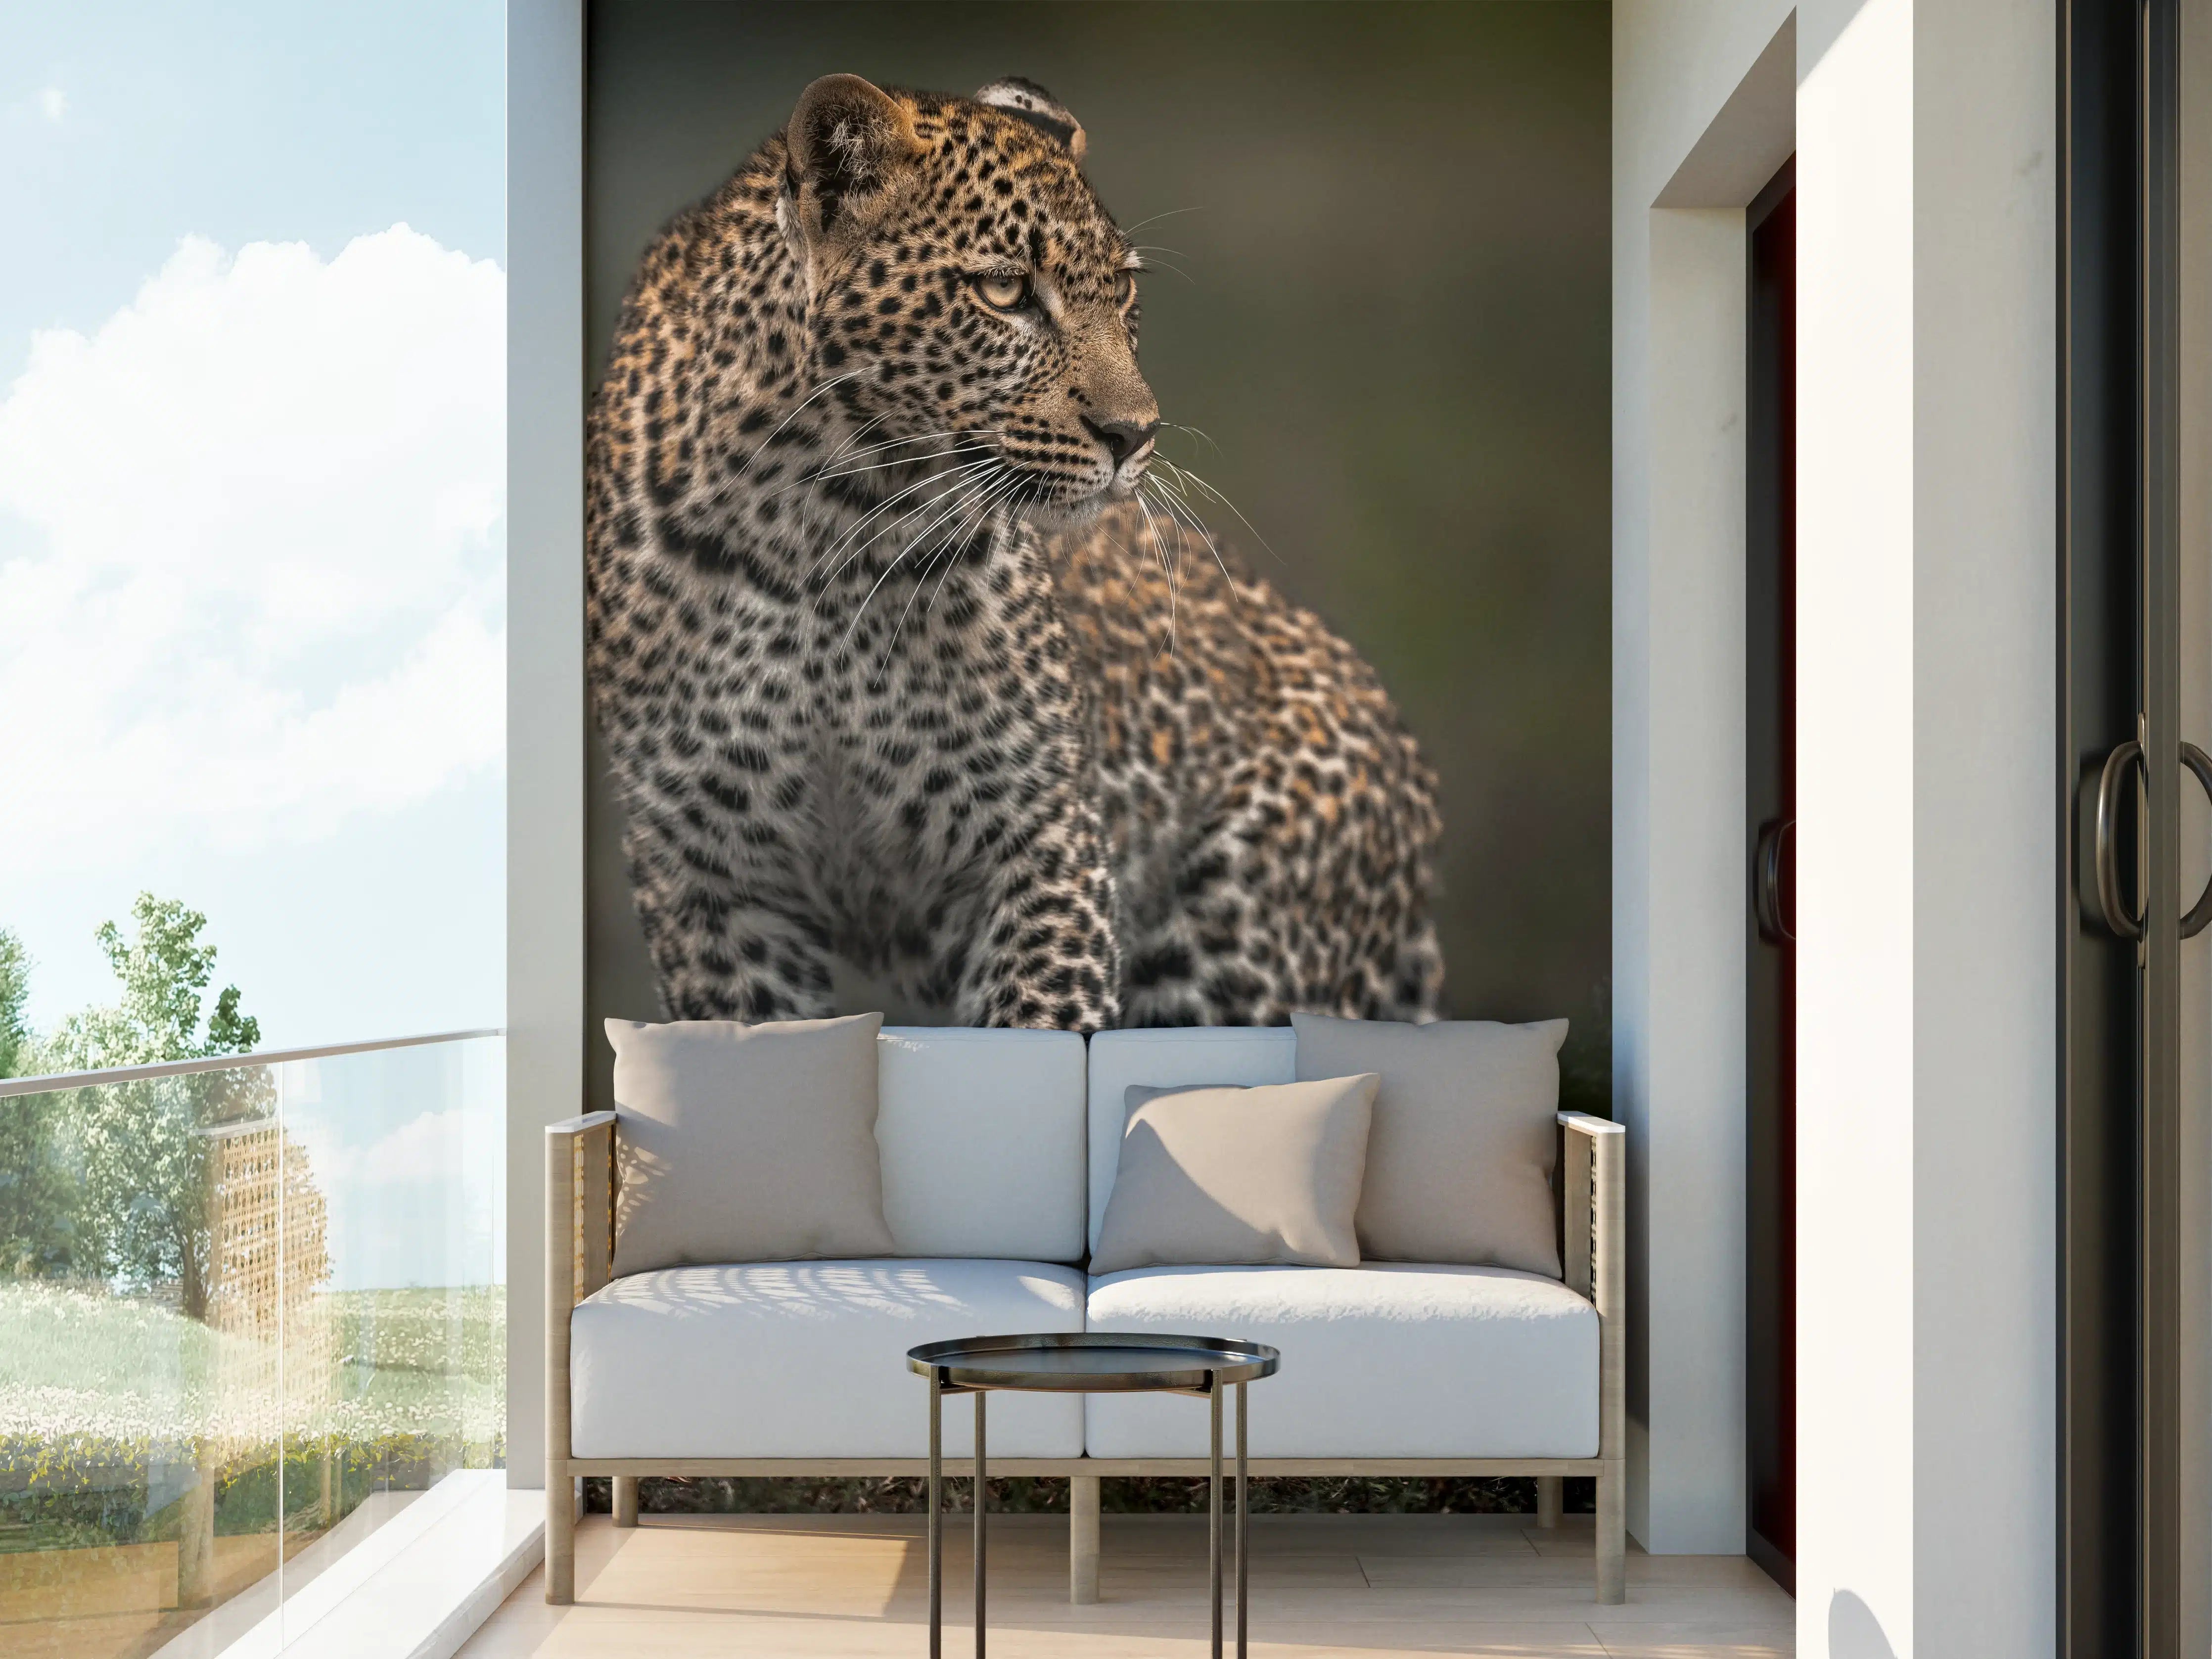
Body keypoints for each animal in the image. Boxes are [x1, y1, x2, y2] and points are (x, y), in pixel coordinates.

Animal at [586, 72, 1444, 1031]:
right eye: (1004, 291)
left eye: (1124, 294)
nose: (1135, 434)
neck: (822, 529)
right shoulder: (711, 878)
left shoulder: (1044, 839)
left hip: (1233, 953)